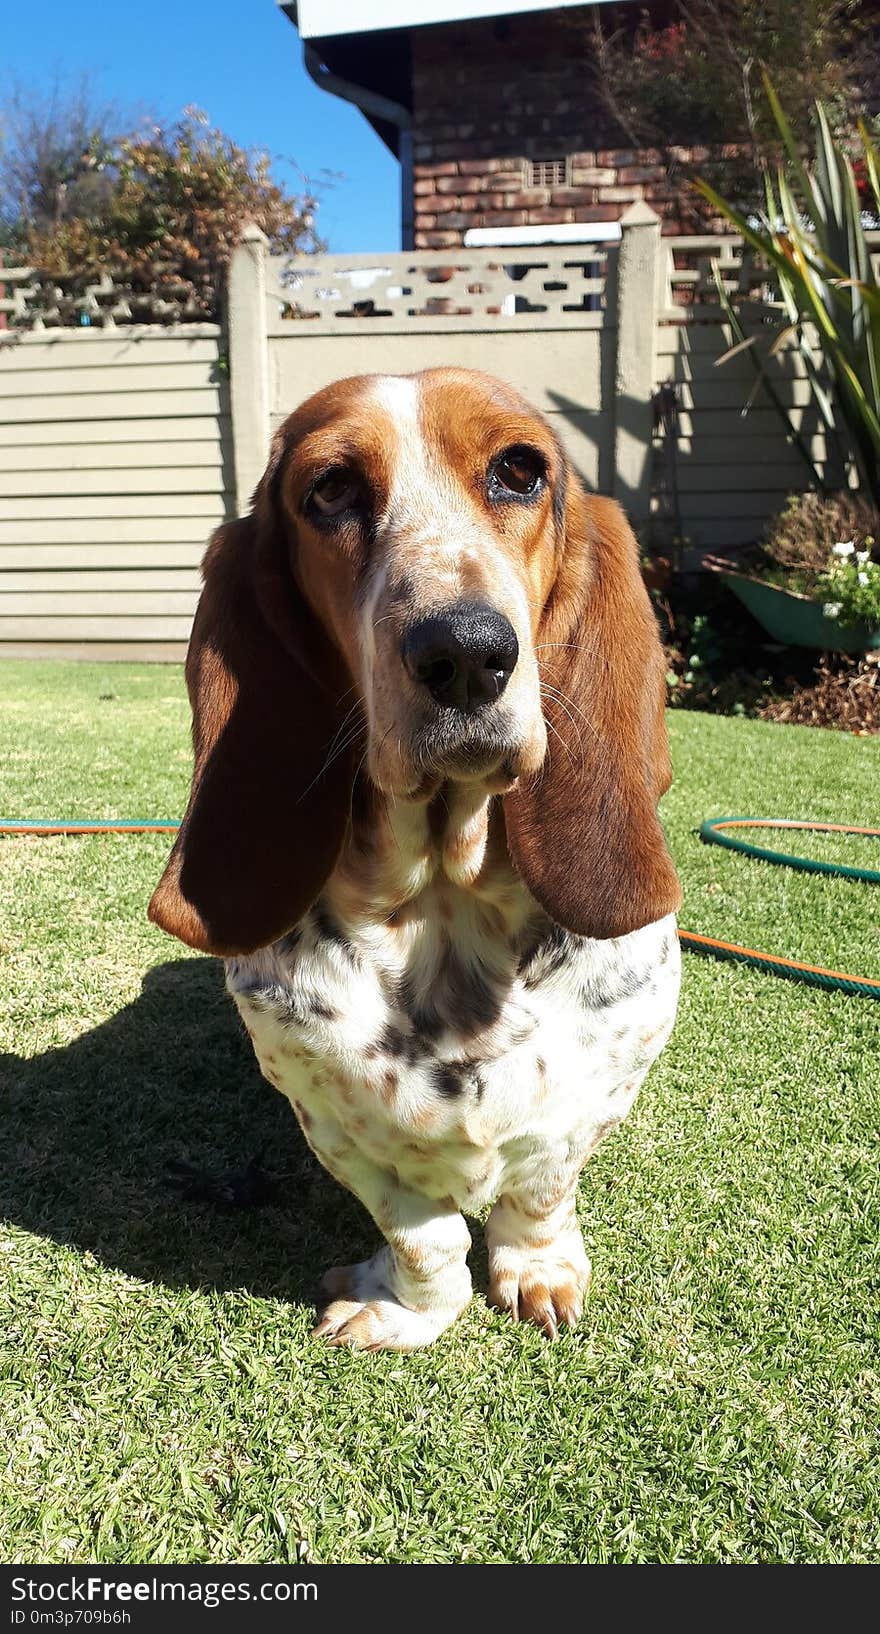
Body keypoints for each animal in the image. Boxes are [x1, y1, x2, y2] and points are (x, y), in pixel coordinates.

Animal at [150, 367, 682, 1352]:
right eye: (329, 490)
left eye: (520, 471)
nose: (466, 654)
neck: (445, 897)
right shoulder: (332, 1121)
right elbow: (423, 1234)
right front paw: (405, 1311)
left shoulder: (599, 1093)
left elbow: (540, 1191)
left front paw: (537, 1273)